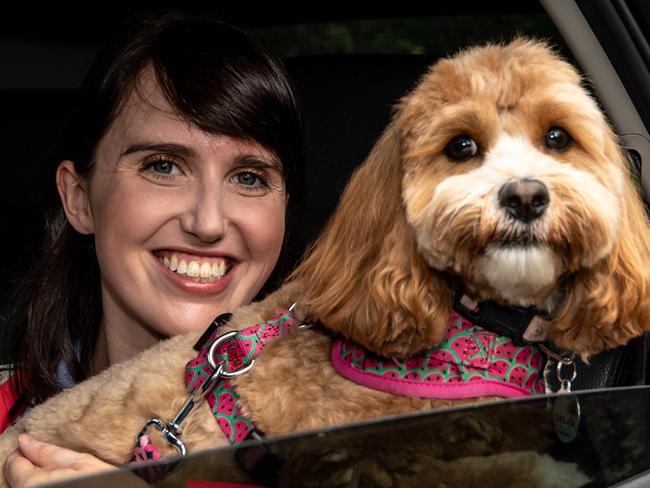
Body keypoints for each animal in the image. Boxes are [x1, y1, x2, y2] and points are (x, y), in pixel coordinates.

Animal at [1, 39, 648, 488]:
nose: (526, 196)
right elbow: (497, 471)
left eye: (558, 137)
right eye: (462, 146)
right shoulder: (359, 456)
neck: (471, 326)